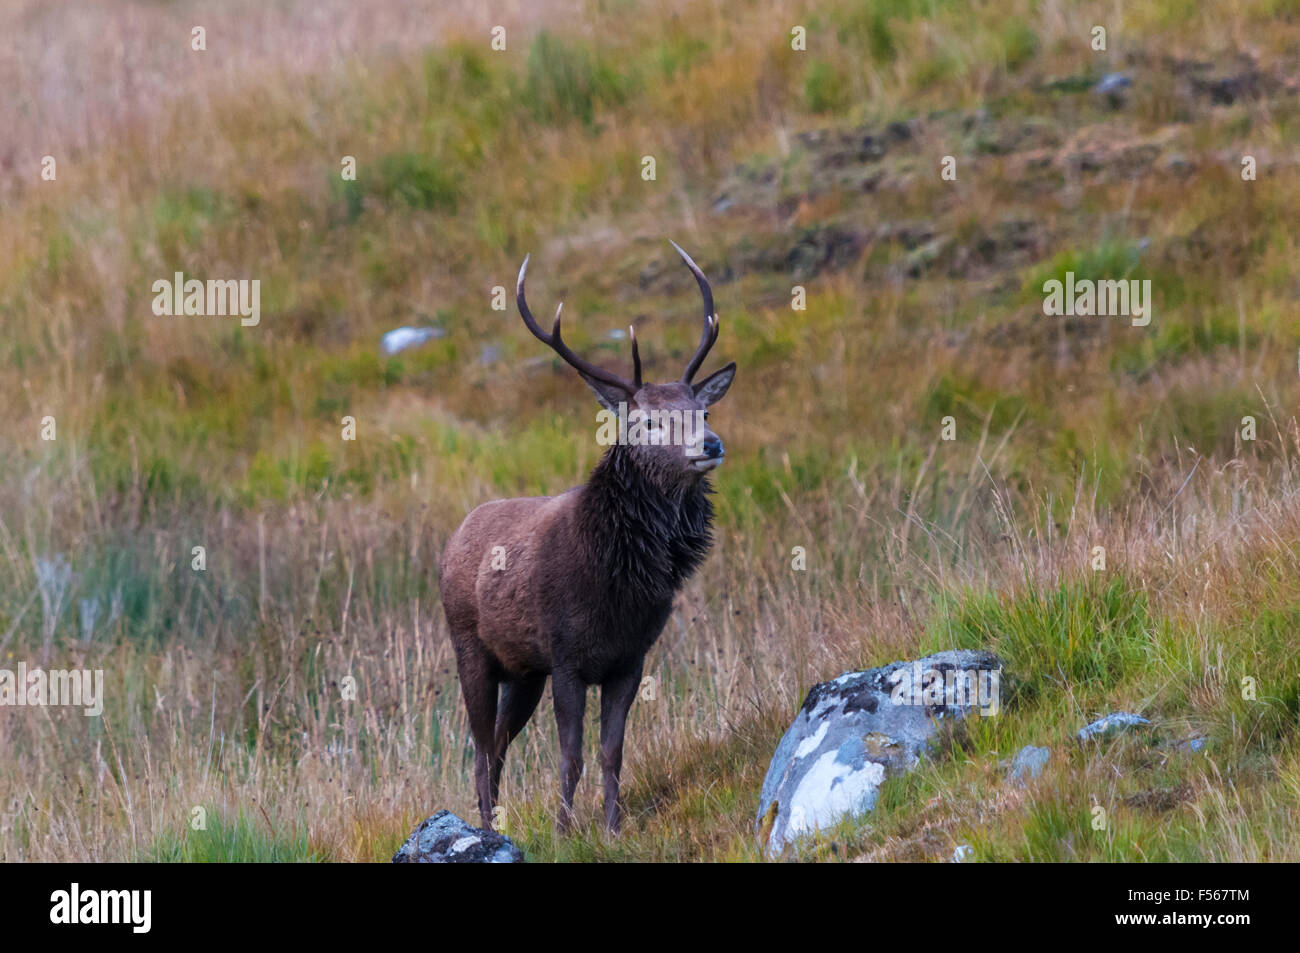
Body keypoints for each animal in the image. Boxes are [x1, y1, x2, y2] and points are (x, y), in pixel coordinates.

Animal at [441, 239, 738, 832]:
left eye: (702, 408)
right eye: (646, 422)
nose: (711, 444)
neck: (616, 584)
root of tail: (455, 535)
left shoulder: (630, 658)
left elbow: (611, 752)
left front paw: (612, 828)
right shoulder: (567, 656)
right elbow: (571, 755)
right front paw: (563, 830)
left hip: (523, 671)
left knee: (500, 744)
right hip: (470, 648)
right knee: (482, 748)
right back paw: (484, 829)